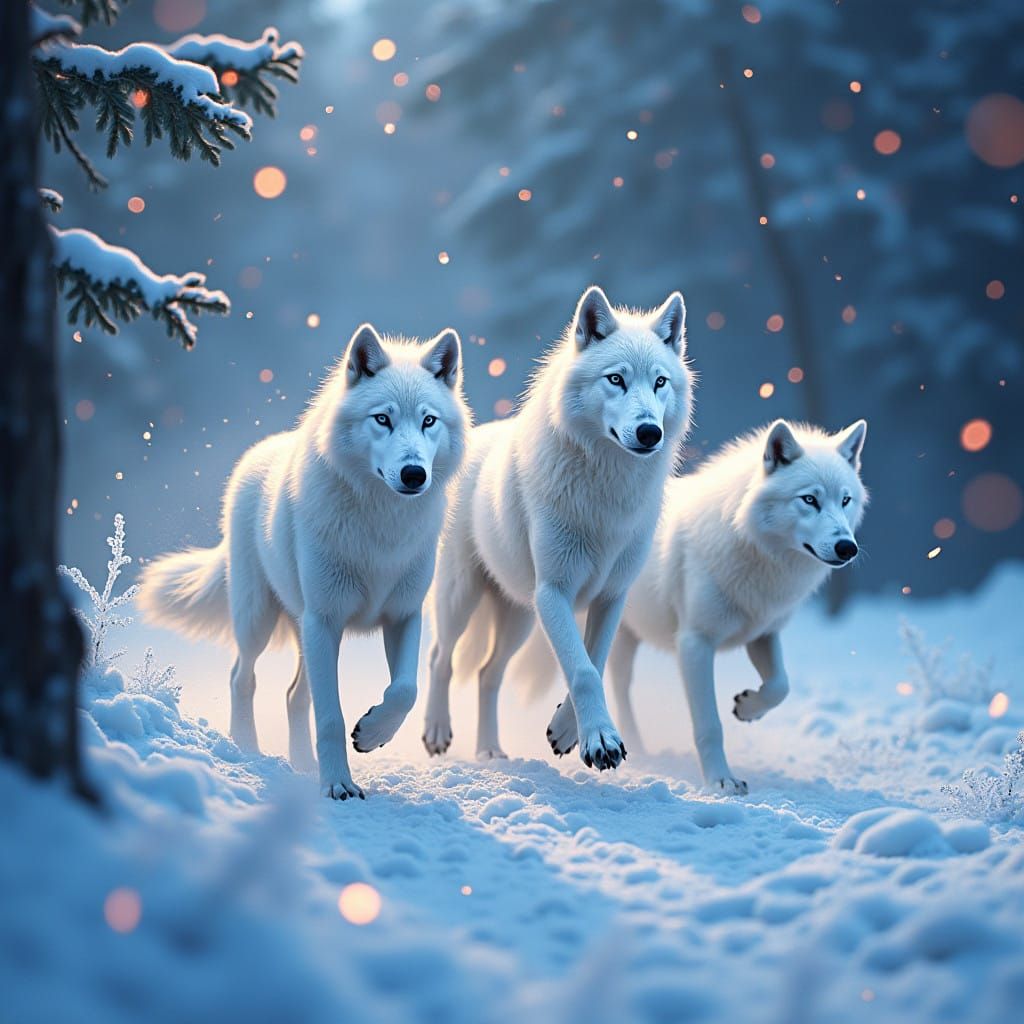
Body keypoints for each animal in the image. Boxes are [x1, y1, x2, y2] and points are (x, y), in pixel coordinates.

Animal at [138, 323, 470, 799]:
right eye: (382, 419)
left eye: (428, 421)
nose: (413, 474)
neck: (381, 528)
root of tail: (253, 456)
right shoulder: (325, 619)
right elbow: (330, 717)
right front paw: (339, 786)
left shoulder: (404, 616)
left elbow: (405, 690)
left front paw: (371, 734)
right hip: (262, 620)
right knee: (242, 677)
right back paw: (248, 750)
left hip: (305, 632)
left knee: (295, 695)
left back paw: (302, 764)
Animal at [422, 285, 693, 770]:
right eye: (616, 380)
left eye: (660, 382)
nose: (649, 432)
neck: (608, 494)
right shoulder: (555, 591)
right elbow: (582, 668)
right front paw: (600, 740)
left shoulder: (610, 596)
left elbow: (593, 661)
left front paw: (568, 732)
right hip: (463, 597)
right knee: (441, 658)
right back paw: (437, 731)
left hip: (520, 616)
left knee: (488, 674)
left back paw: (490, 750)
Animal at [609, 418, 868, 793]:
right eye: (810, 499)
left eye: (845, 500)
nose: (847, 547)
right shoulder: (695, 644)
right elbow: (710, 725)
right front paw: (721, 781)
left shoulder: (763, 634)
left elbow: (781, 686)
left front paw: (748, 707)